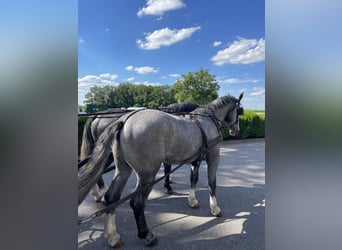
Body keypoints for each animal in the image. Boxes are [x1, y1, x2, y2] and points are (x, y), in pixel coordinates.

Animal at [78, 94, 243, 248]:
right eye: (239, 110)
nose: (236, 130)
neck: (206, 121)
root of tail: (124, 120)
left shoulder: (195, 160)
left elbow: (193, 179)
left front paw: (193, 200)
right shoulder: (214, 156)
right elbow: (211, 183)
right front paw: (215, 208)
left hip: (123, 169)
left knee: (112, 197)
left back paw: (113, 235)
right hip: (147, 175)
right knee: (137, 203)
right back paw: (146, 234)